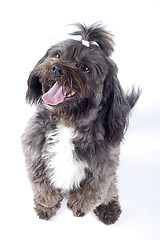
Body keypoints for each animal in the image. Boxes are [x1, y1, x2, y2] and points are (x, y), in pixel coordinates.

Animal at [21, 23, 140, 225]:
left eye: (85, 68)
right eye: (58, 55)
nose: (57, 69)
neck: (67, 124)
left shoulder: (105, 163)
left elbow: (94, 188)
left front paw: (79, 205)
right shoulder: (33, 145)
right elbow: (39, 177)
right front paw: (48, 201)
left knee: (110, 189)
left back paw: (109, 207)